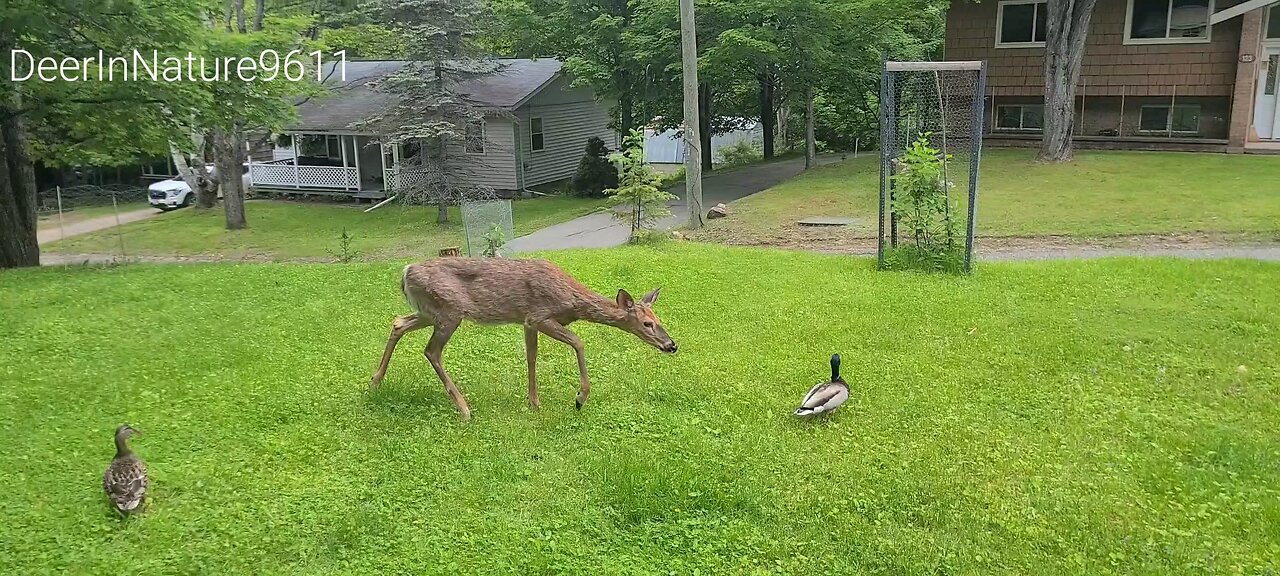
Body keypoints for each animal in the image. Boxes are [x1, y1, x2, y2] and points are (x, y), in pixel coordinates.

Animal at [366, 256, 675, 417]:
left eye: (660, 320)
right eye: (647, 323)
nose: (671, 345)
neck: (572, 302)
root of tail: (405, 272)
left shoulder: (528, 321)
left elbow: (531, 357)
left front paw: (534, 402)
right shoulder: (539, 315)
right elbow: (578, 341)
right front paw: (579, 398)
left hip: (430, 311)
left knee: (398, 323)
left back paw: (375, 381)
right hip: (449, 311)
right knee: (431, 351)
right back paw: (464, 408)